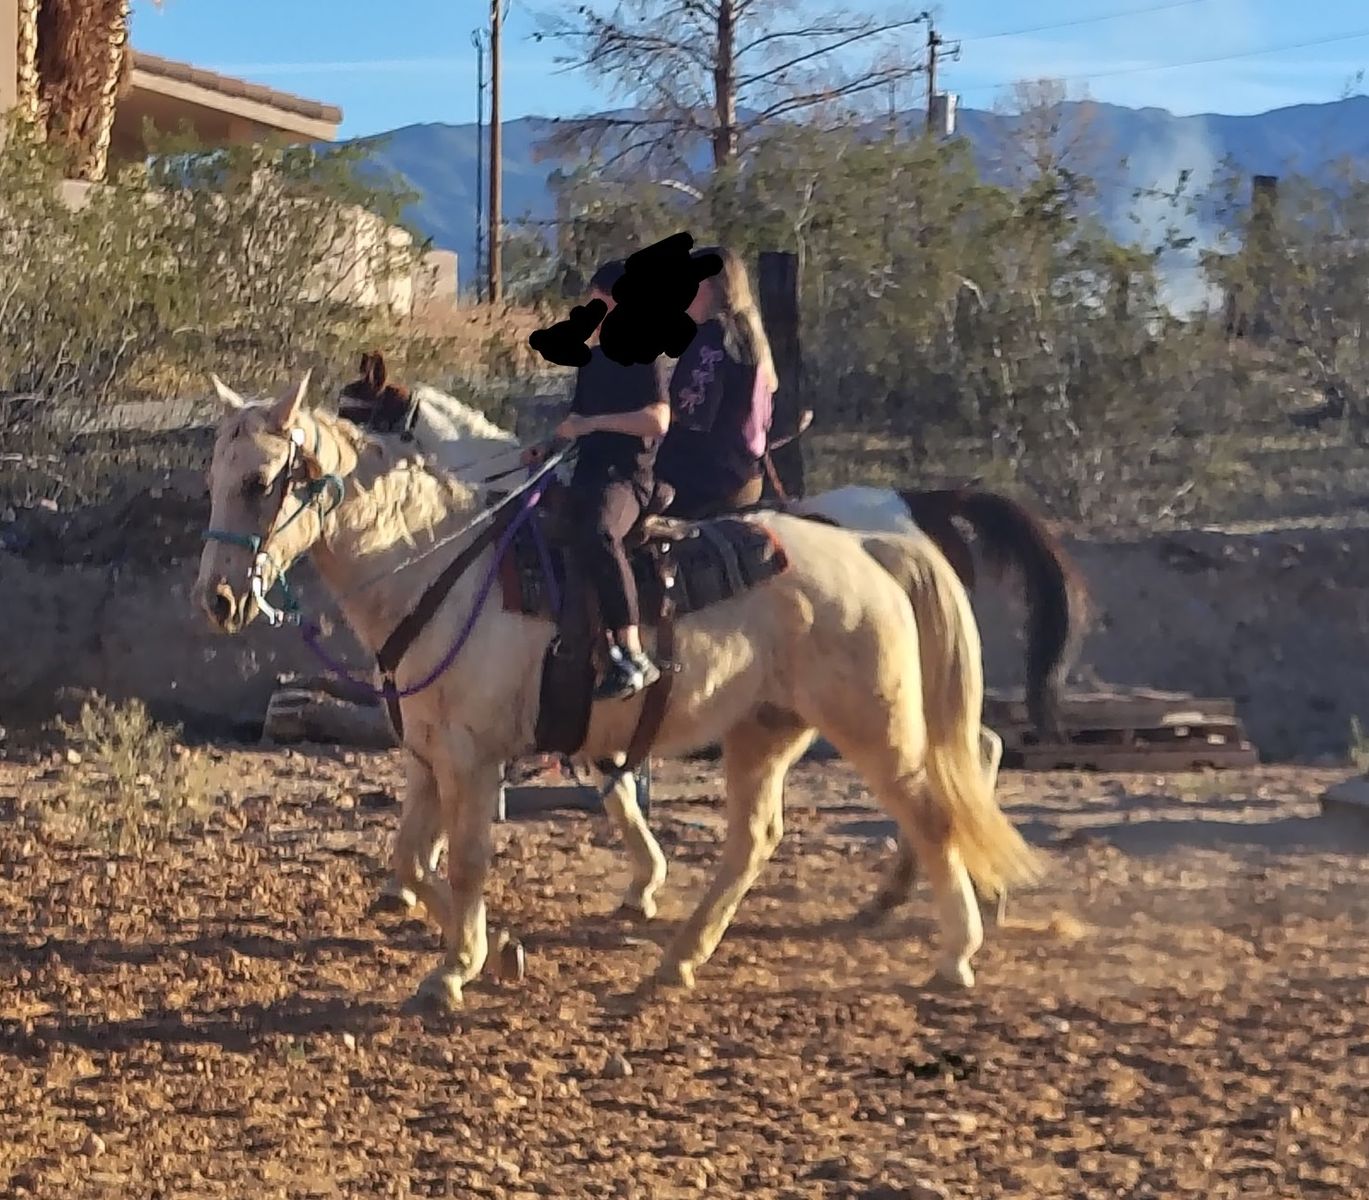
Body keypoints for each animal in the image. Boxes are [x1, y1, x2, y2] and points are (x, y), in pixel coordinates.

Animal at [195, 373, 1042, 1010]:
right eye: (214, 480)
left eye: (261, 482)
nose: (218, 600)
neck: (440, 564)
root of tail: (867, 543)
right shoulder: (427, 756)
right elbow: (410, 860)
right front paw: (498, 947)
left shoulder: (472, 758)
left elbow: (467, 860)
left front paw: (453, 970)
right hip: (764, 730)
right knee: (755, 840)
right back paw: (680, 958)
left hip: (876, 724)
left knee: (935, 808)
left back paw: (952, 951)